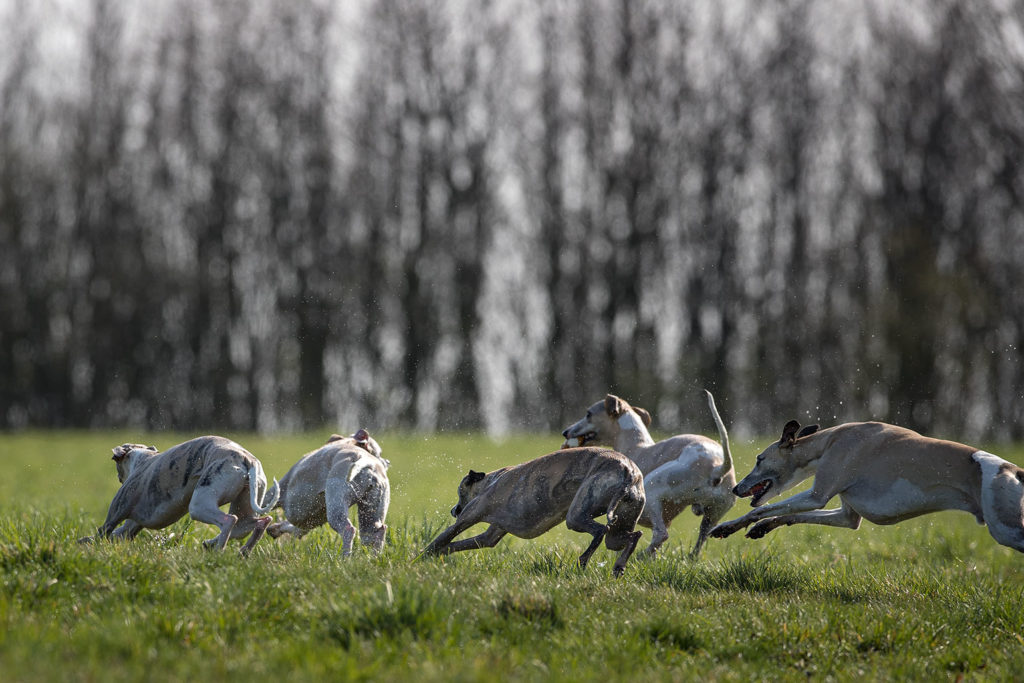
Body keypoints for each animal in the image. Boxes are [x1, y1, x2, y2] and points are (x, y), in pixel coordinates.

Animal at [561, 389, 737, 557]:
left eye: (588, 414)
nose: (565, 432)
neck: (637, 446)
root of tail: (717, 467)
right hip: (713, 515)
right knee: (701, 539)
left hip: (653, 491)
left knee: (661, 534)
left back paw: (639, 557)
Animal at [708, 419, 1024, 552]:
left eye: (759, 459)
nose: (736, 488)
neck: (829, 440)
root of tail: (1013, 470)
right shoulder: (846, 516)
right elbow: (791, 516)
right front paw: (761, 529)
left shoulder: (816, 495)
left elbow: (762, 509)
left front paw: (728, 527)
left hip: (1005, 528)